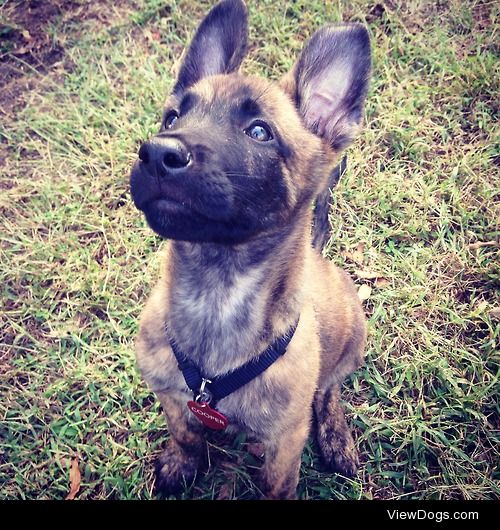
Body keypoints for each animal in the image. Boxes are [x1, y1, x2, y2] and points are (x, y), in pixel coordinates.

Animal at [130, 0, 372, 498]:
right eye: (172, 118)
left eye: (259, 132)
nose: (158, 154)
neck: (217, 290)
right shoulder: (171, 396)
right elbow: (184, 433)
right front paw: (182, 463)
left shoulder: (286, 439)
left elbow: (278, 484)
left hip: (351, 340)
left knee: (328, 390)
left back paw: (335, 436)